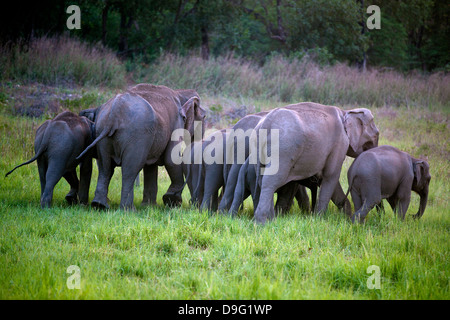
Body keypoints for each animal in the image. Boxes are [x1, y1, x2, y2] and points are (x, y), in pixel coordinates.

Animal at [76, 83, 205, 210]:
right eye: (204, 117)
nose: (191, 202)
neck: (180, 92)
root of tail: (114, 112)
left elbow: (151, 166)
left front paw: (149, 207)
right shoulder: (176, 124)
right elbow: (171, 159)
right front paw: (172, 202)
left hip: (102, 132)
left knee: (105, 167)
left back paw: (100, 206)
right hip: (137, 135)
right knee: (130, 168)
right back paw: (128, 210)